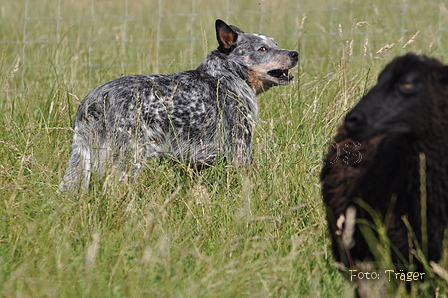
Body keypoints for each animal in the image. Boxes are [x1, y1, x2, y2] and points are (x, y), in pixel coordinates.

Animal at [59, 19, 298, 192]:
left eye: (276, 44)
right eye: (262, 49)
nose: (295, 53)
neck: (226, 75)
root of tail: (93, 100)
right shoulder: (241, 150)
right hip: (128, 160)